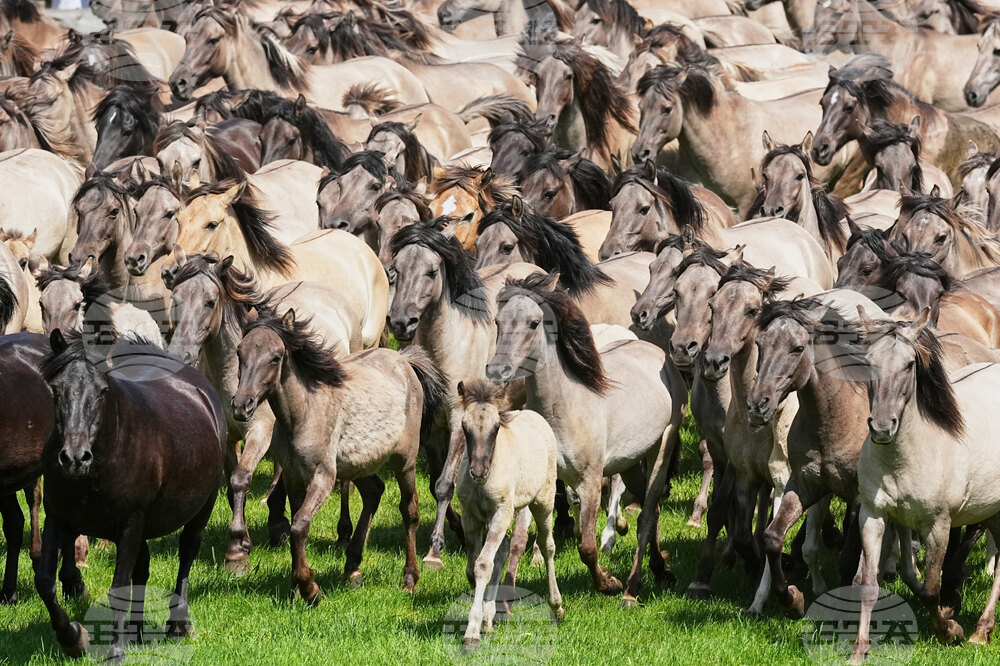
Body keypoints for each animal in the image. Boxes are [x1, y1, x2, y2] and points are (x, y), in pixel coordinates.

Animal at [36, 330, 225, 663]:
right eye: (57, 389)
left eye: (102, 391)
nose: (75, 458)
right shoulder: (58, 518)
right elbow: (46, 583)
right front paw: (74, 639)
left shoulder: (130, 524)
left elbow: (118, 587)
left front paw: (114, 651)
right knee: (143, 568)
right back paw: (136, 630)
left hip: (203, 507)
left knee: (187, 552)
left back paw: (178, 625)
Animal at [231, 307, 442, 598]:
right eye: (240, 352)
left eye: (275, 358)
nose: (242, 405)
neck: (305, 413)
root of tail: (404, 361)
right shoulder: (293, 478)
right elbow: (296, 525)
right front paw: (297, 588)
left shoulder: (323, 477)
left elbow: (300, 524)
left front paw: (309, 589)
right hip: (360, 464)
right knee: (374, 492)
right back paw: (352, 568)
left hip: (405, 462)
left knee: (409, 510)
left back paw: (409, 578)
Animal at [455, 378, 563, 650]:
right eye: (464, 427)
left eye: (495, 428)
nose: (478, 471)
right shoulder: (470, 515)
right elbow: (473, 568)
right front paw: (484, 617)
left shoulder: (501, 512)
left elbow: (483, 565)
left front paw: (472, 631)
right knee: (503, 547)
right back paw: (491, 615)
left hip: (543, 501)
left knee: (548, 545)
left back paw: (557, 606)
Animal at [486, 272, 687, 603]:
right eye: (498, 321)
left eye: (533, 323)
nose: (496, 369)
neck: (564, 409)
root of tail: (660, 354)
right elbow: (519, 539)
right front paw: (508, 598)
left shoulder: (590, 482)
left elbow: (587, 547)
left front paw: (608, 583)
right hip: (630, 464)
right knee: (653, 509)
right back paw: (661, 570)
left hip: (662, 447)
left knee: (647, 514)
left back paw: (631, 590)